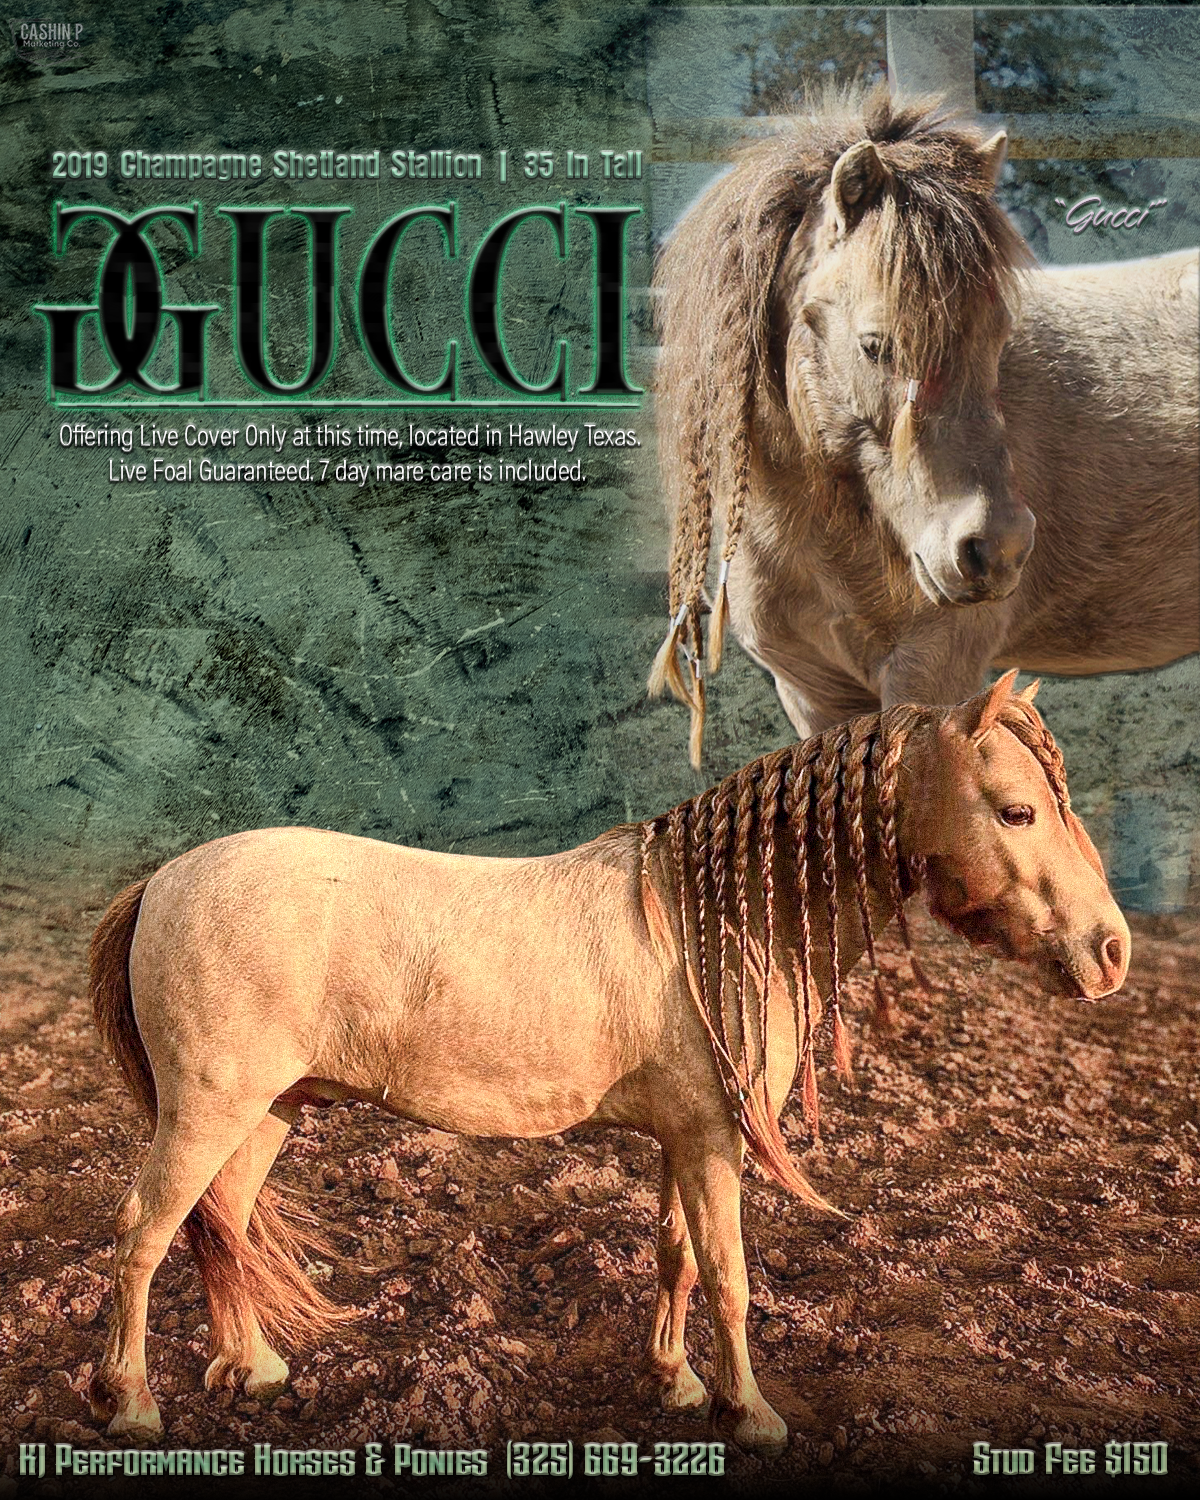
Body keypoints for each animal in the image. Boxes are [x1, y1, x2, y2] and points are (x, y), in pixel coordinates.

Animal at [86, 672, 1129, 1454]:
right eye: (1018, 811)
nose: (1111, 952)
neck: (719, 918)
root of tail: (161, 881)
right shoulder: (712, 1139)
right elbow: (729, 1274)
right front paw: (753, 1415)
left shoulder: (686, 1136)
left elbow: (676, 1255)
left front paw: (677, 1382)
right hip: (210, 1108)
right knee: (144, 1229)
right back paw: (129, 1402)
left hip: (269, 1109)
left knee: (219, 1222)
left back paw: (252, 1368)